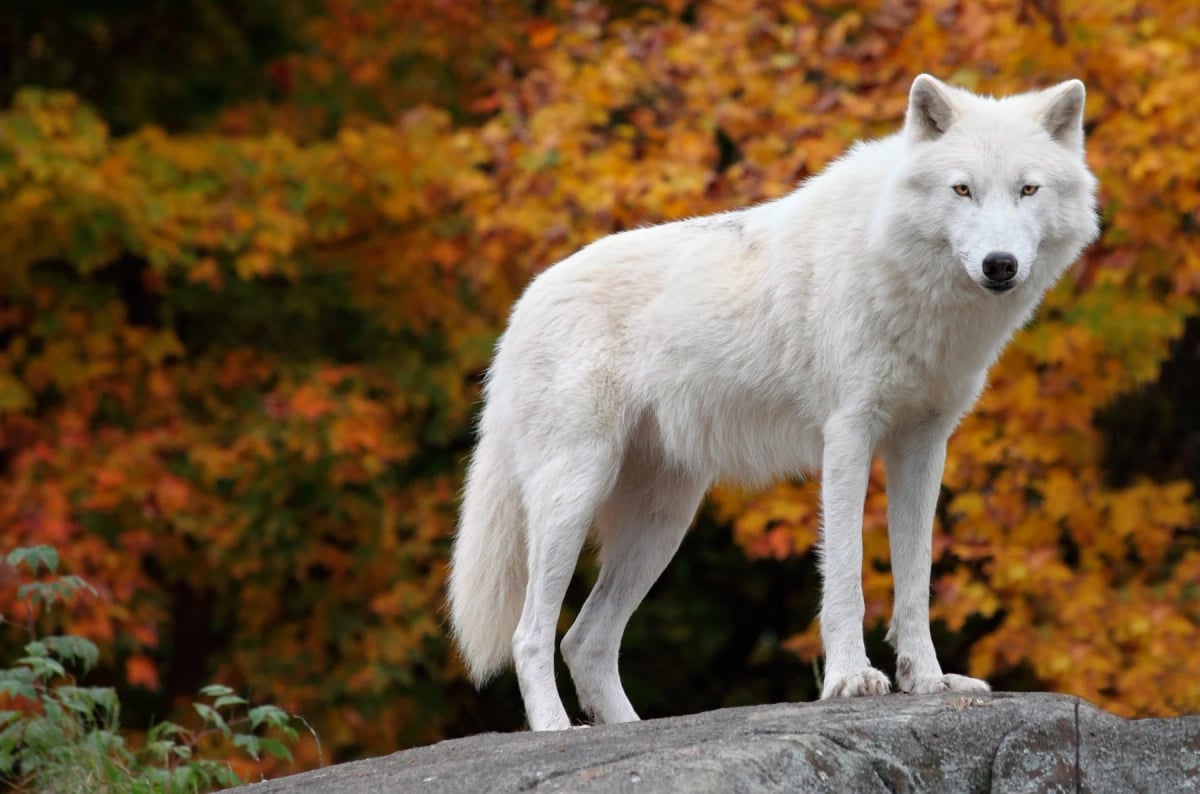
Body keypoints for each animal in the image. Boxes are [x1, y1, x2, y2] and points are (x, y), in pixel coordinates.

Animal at [447, 74, 1100, 731]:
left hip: (662, 522)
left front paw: (928, 681)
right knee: (531, 635)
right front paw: (850, 679)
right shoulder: (848, 435)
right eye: (962, 189)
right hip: (574, 495)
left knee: (584, 640)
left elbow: (916, 579)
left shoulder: (923, 445)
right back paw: (556, 732)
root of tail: (523, 306)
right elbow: (846, 573)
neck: (899, 270)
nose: (1000, 265)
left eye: (1028, 189)